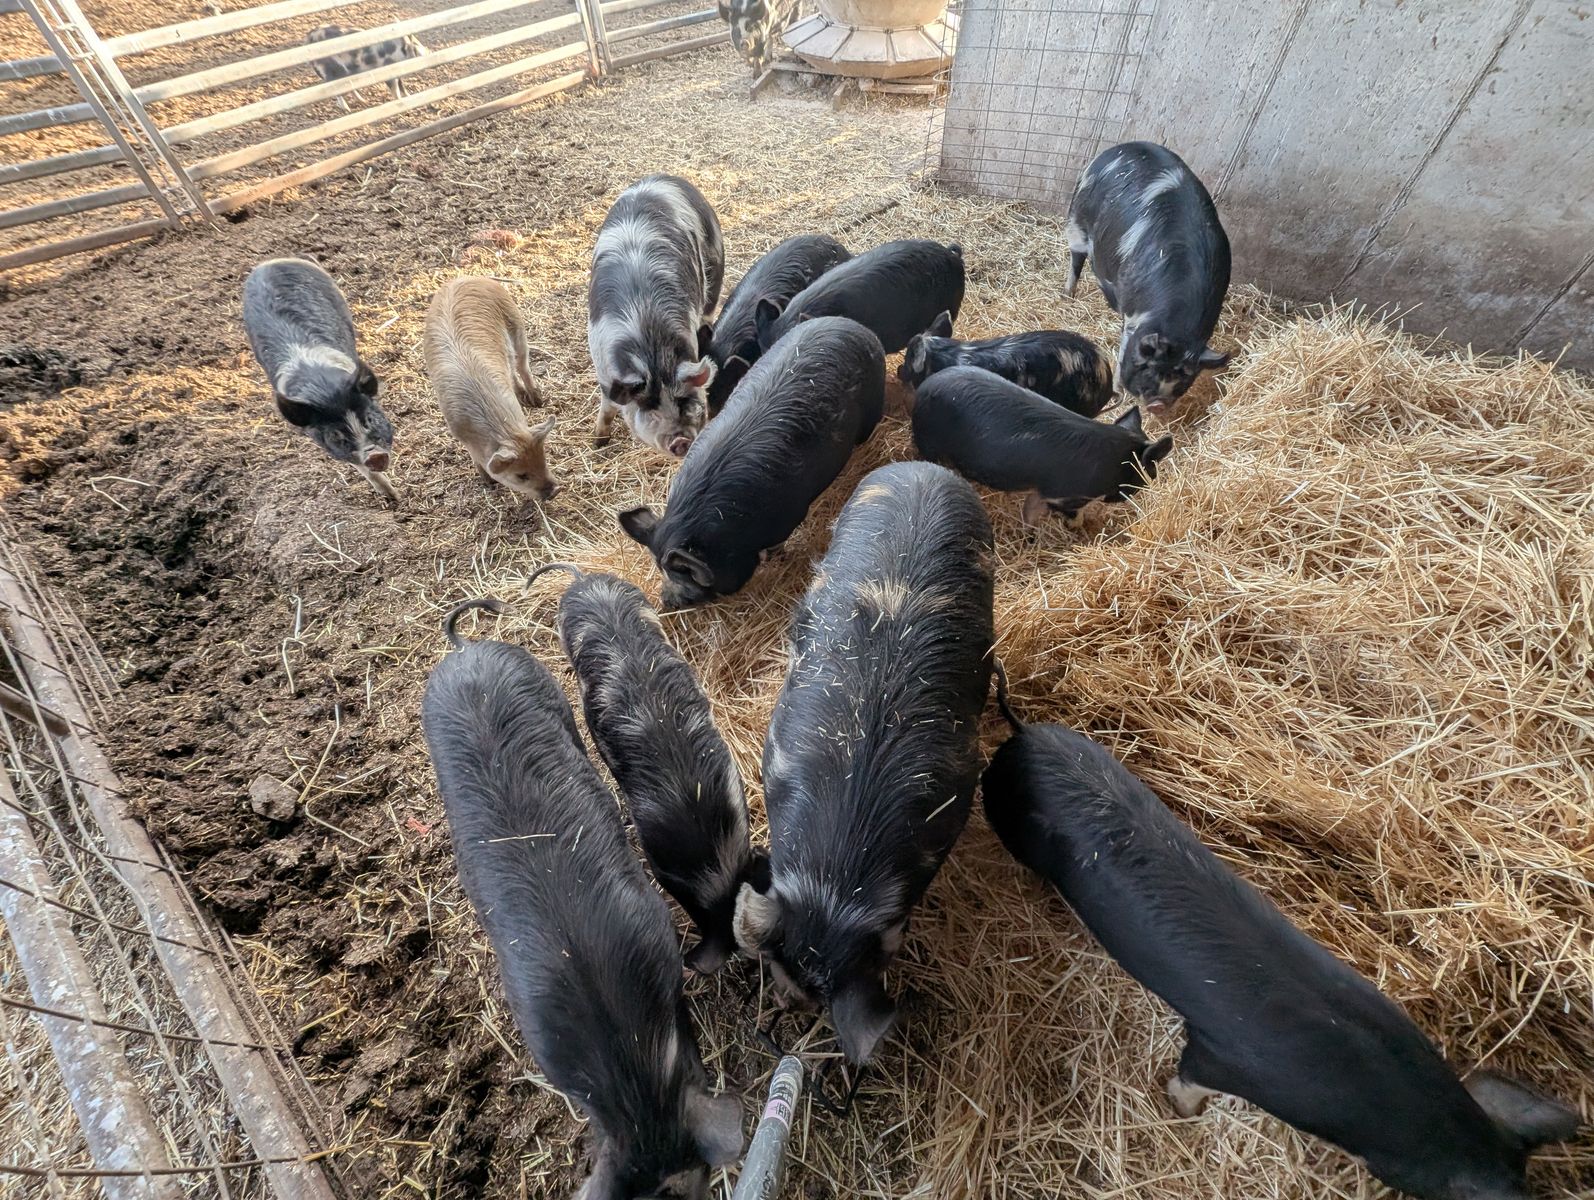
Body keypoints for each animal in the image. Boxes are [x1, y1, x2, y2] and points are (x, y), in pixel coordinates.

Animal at [241, 257, 396, 501]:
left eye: (369, 419)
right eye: (336, 434)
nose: (374, 456)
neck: (321, 387)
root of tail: (270, 262)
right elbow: (359, 466)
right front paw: (392, 496)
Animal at [423, 277, 557, 501]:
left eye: (544, 460)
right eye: (521, 475)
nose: (556, 490)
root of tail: (464, 277)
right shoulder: (458, 433)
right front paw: (488, 482)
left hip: (517, 324)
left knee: (522, 364)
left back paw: (537, 400)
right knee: (513, 367)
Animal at [588, 175, 725, 458]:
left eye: (684, 402)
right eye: (652, 414)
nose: (681, 441)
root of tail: (661, 178)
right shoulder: (603, 370)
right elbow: (608, 404)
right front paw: (598, 442)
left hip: (715, 264)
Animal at [911, 365, 1172, 526]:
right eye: (1149, 472)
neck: (1114, 462)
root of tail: (924, 388)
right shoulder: (1062, 494)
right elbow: (1069, 512)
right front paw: (1076, 526)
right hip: (930, 442)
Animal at [1065, 140, 1231, 412]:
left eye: (1184, 380)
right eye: (1149, 367)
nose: (1158, 404)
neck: (1178, 329)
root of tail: (1125, 146)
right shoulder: (1133, 316)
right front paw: (1118, 391)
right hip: (1078, 219)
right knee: (1076, 259)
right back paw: (1067, 295)